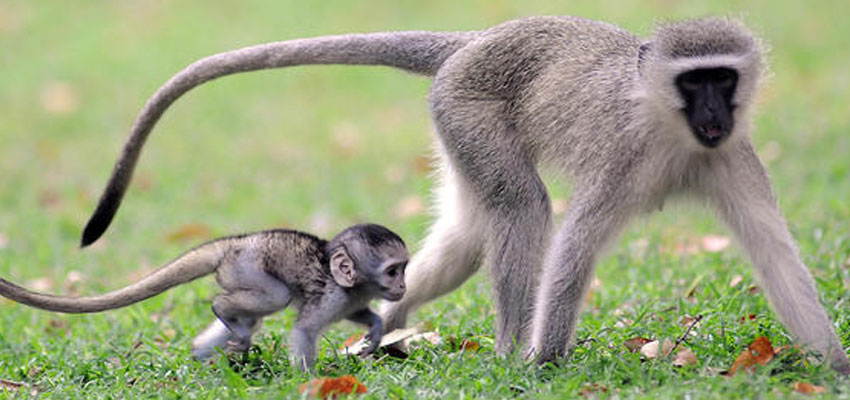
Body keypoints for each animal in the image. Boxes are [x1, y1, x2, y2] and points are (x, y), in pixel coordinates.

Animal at [0, 223, 409, 371]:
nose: (402, 287)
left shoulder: (350, 298)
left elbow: (363, 314)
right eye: (393, 270)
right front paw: (308, 379)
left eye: (404, 269)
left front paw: (375, 330)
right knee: (269, 297)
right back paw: (223, 313)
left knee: (251, 316)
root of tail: (233, 245)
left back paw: (204, 353)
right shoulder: (331, 296)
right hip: (246, 268)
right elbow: (306, 329)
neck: (349, 282)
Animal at [73, 16, 849, 372]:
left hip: (457, 131)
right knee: (523, 210)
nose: (715, 111)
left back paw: (380, 329)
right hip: (468, 112)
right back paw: (505, 352)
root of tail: (474, 39)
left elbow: (774, 253)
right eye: (695, 80)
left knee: (470, 237)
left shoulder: (736, 158)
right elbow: (574, 245)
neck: (675, 132)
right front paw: (542, 363)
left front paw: (834, 365)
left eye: (724, 78)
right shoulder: (623, 156)